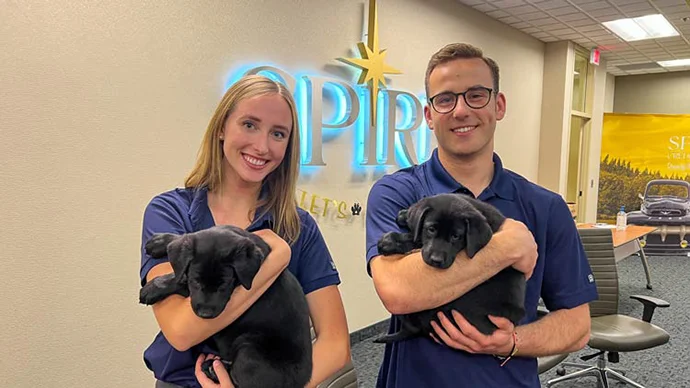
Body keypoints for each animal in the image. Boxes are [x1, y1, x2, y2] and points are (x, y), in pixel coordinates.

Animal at [138, 224, 310, 388]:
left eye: (224, 283)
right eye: (196, 281)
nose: (205, 314)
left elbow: (180, 280)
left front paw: (152, 288)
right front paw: (160, 241)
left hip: (249, 349)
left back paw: (212, 369)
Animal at [374, 194, 524, 342]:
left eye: (456, 236)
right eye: (431, 229)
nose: (436, 260)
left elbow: (415, 240)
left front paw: (391, 241)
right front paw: (405, 215)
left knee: (412, 325)